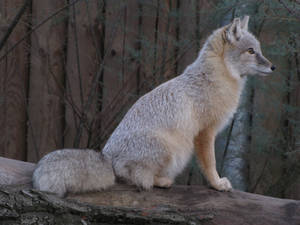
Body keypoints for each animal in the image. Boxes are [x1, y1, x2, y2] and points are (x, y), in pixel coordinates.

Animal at [32, 15, 274, 196]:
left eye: (259, 50)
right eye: (251, 51)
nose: (273, 67)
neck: (213, 77)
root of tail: (108, 157)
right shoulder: (205, 133)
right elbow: (210, 163)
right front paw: (216, 184)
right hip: (173, 149)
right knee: (138, 180)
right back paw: (161, 181)